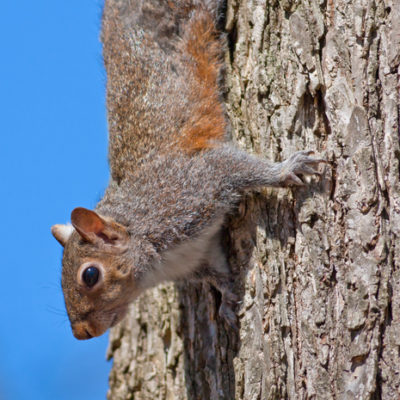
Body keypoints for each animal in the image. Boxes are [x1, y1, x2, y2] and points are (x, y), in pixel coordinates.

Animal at [50, 0, 324, 340]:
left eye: (89, 275)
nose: (82, 333)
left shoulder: (191, 189)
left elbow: (236, 167)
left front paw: (286, 169)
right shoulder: (198, 255)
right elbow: (217, 272)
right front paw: (227, 301)